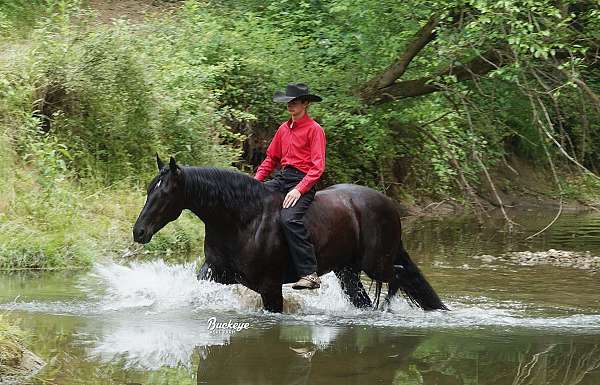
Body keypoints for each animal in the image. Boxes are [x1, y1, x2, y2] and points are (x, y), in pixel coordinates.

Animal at [134, 156, 448, 312]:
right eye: (149, 189)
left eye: (165, 193)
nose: (139, 232)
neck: (244, 220)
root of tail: (390, 205)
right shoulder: (216, 273)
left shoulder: (270, 288)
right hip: (347, 271)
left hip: (376, 264)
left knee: (397, 277)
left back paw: (386, 310)